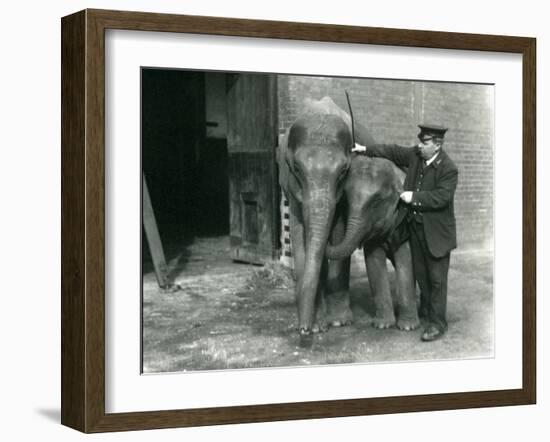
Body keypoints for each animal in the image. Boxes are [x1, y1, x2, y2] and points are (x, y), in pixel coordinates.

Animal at [280, 95, 422, 348]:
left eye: (343, 170)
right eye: (296, 168)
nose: (304, 332)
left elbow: (338, 231)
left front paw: (337, 323)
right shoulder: (290, 186)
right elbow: (298, 233)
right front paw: (316, 326)